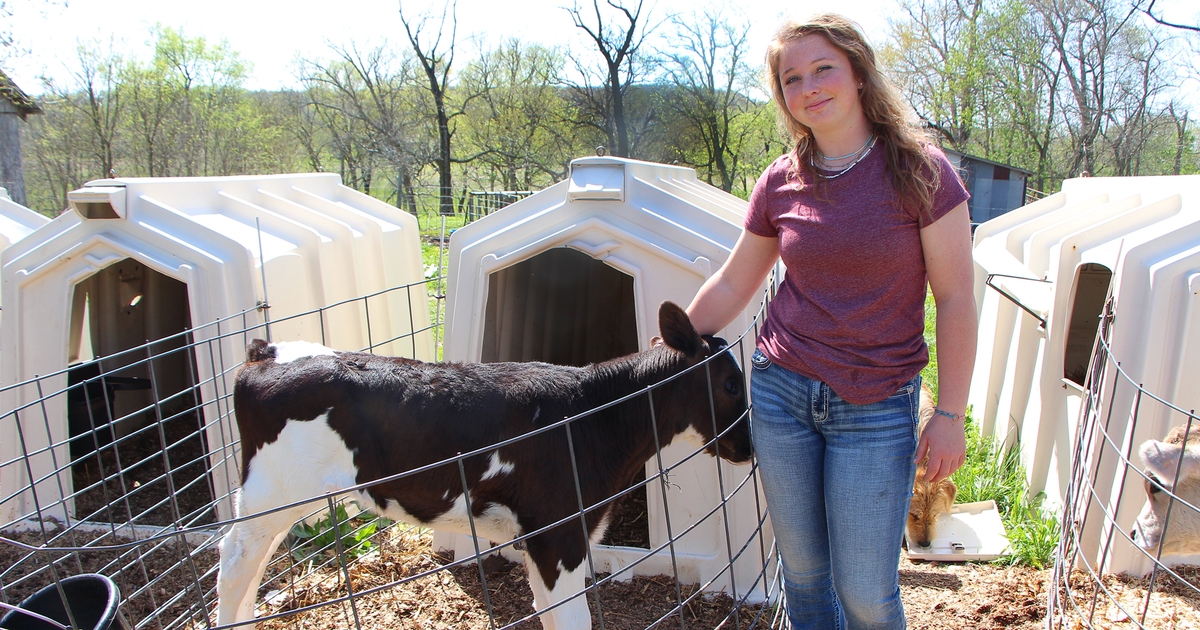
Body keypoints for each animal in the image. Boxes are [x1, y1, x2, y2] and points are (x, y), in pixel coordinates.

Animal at [216, 302, 748, 624]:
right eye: (729, 384)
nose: (747, 446)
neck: (593, 416)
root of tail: (267, 351)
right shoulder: (559, 536)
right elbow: (572, 617)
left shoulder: (542, 539)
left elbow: (547, 612)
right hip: (271, 493)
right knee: (234, 562)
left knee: (252, 566)